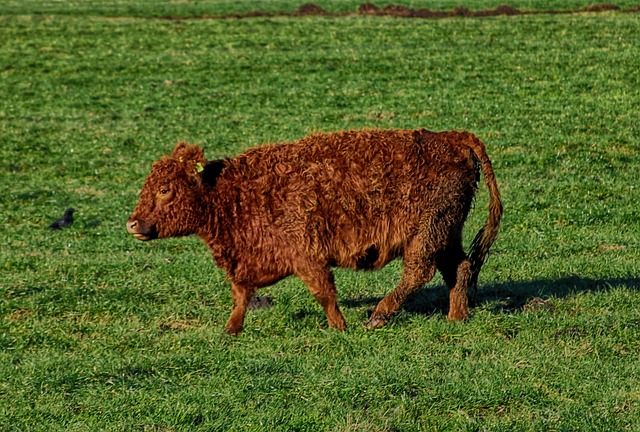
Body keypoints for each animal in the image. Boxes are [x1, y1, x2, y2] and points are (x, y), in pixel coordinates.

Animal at [127, 128, 502, 334]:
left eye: (165, 189)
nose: (133, 223)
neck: (234, 190)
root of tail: (453, 138)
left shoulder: (307, 254)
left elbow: (324, 292)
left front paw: (339, 327)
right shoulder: (250, 260)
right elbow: (241, 296)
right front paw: (230, 331)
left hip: (427, 232)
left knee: (419, 272)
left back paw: (379, 316)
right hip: (447, 231)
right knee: (460, 268)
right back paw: (457, 317)